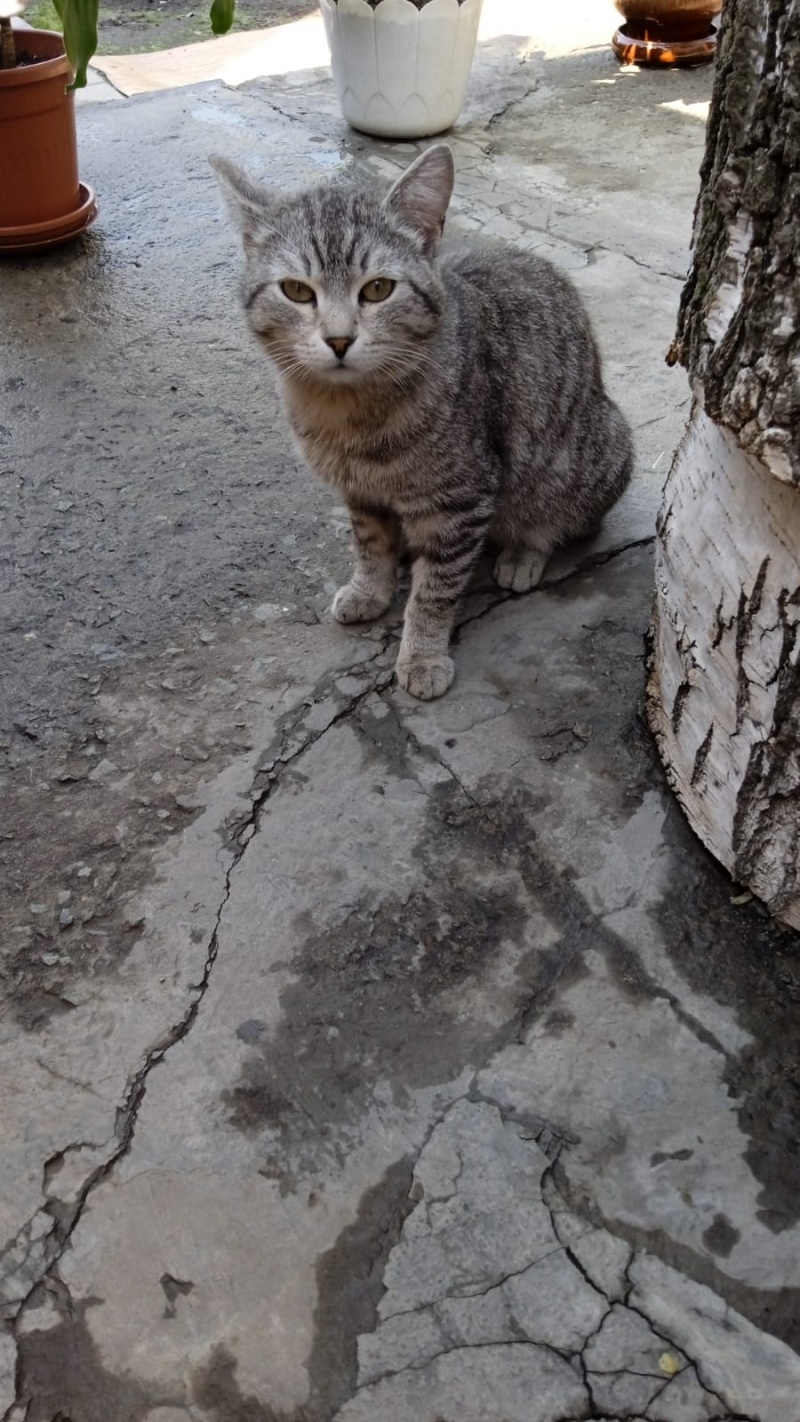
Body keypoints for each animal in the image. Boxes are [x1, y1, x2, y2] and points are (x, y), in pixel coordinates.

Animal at [211, 144, 633, 701]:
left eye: (378, 289)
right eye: (297, 292)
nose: (339, 339)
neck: (349, 415)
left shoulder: (461, 500)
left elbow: (436, 590)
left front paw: (423, 654)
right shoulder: (360, 492)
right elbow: (370, 545)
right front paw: (371, 588)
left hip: (587, 455)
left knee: (561, 518)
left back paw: (524, 552)